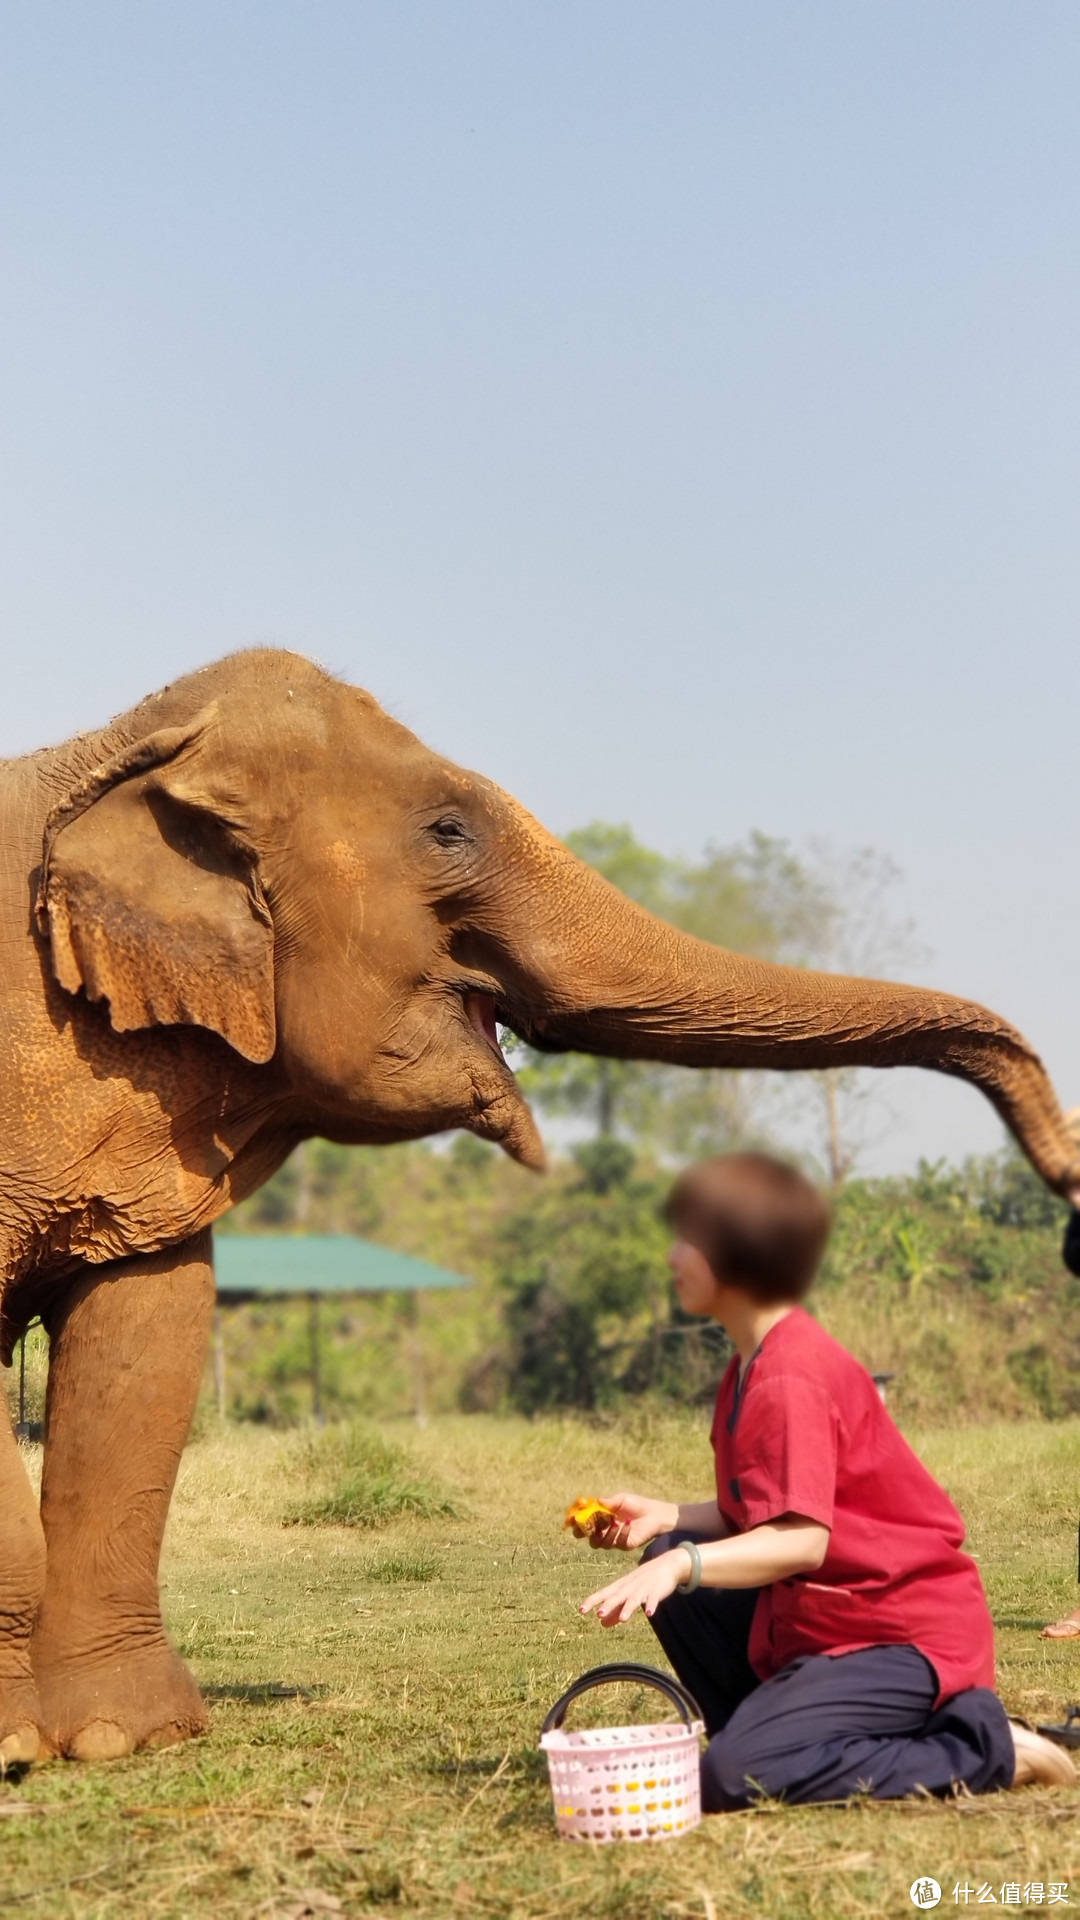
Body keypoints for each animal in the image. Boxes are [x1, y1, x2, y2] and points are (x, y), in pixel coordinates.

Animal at [0, 648, 1068, 1766]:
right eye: (449, 832)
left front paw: (122, 1739)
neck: (105, 752)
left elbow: (148, 1339)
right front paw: (27, 1748)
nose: (1067, 1163)